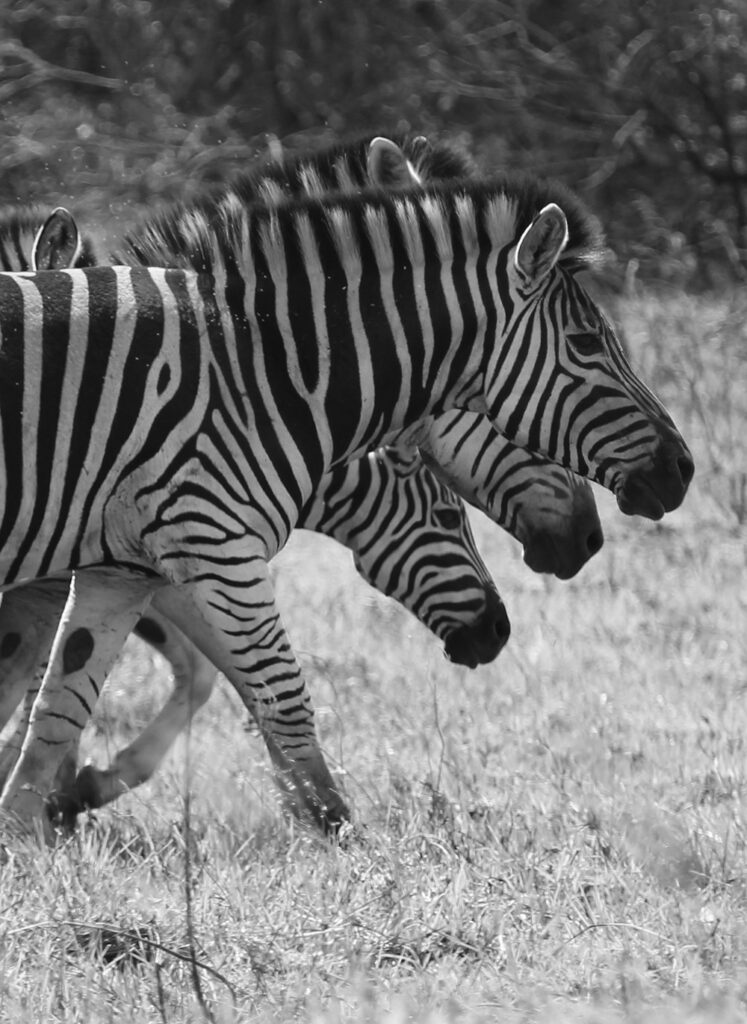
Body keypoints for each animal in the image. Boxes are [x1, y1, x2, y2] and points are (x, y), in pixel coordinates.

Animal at [0, 156, 693, 839]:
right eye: (587, 345)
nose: (682, 471)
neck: (259, 375)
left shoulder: (121, 569)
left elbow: (59, 707)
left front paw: (38, 821)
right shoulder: (214, 547)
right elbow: (277, 694)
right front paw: (337, 839)